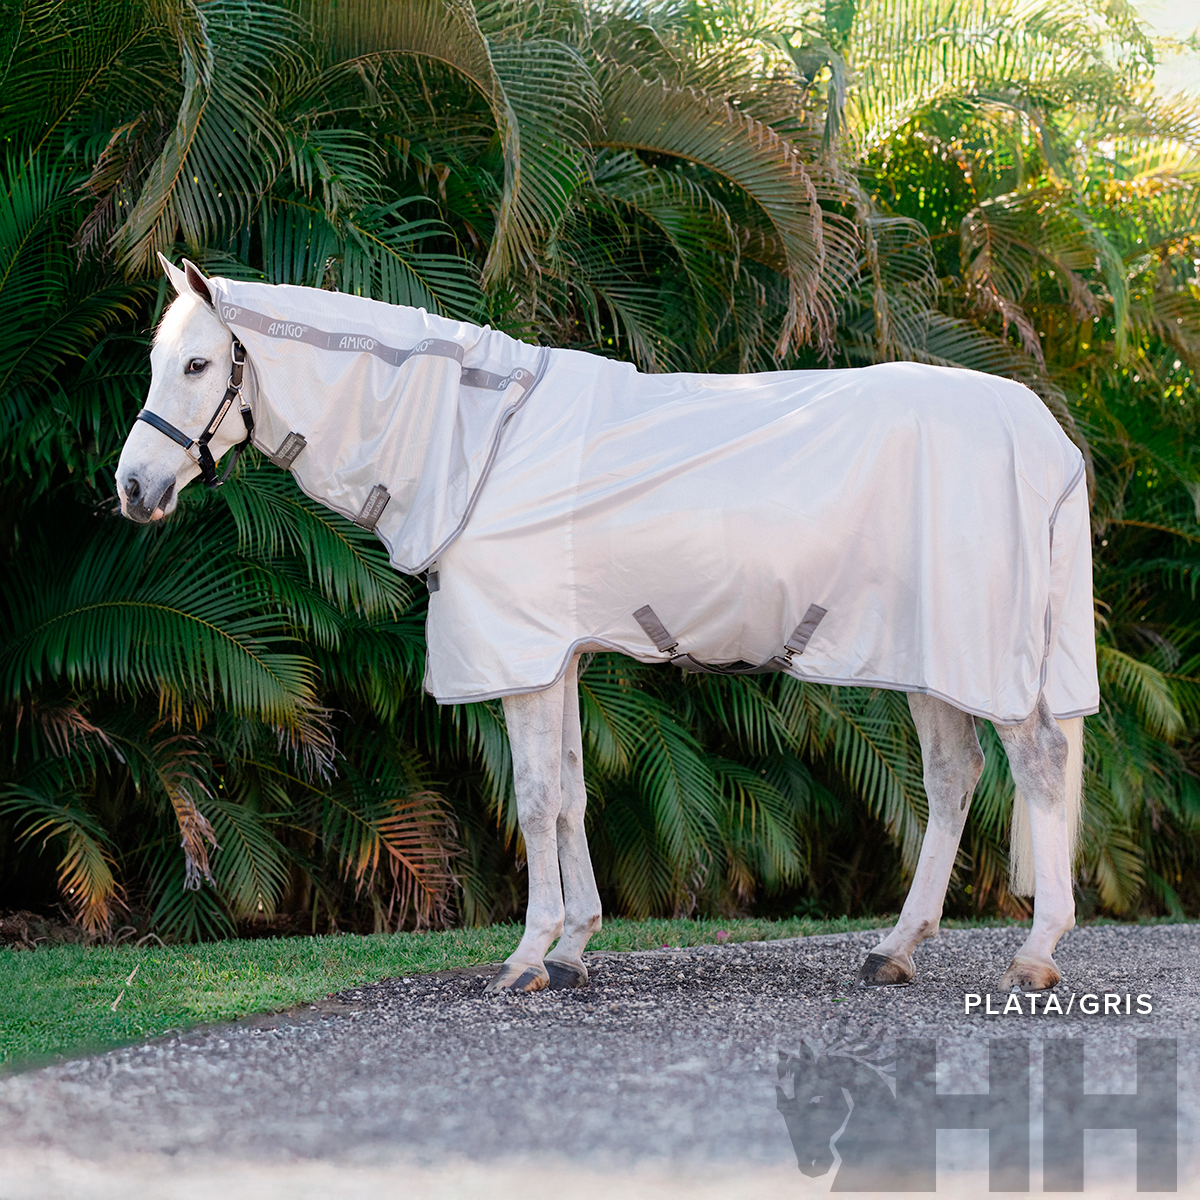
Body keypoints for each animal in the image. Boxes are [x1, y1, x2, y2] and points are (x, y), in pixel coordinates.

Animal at [115, 256, 1097, 994]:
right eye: (159, 362)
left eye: (199, 365)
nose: (132, 488)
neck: (477, 441)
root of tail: (1046, 437)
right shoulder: (558, 658)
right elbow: (573, 793)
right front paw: (578, 945)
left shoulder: (518, 658)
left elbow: (534, 797)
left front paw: (527, 955)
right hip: (932, 656)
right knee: (956, 778)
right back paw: (896, 949)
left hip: (981, 655)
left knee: (1038, 763)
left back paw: (1036, 953)